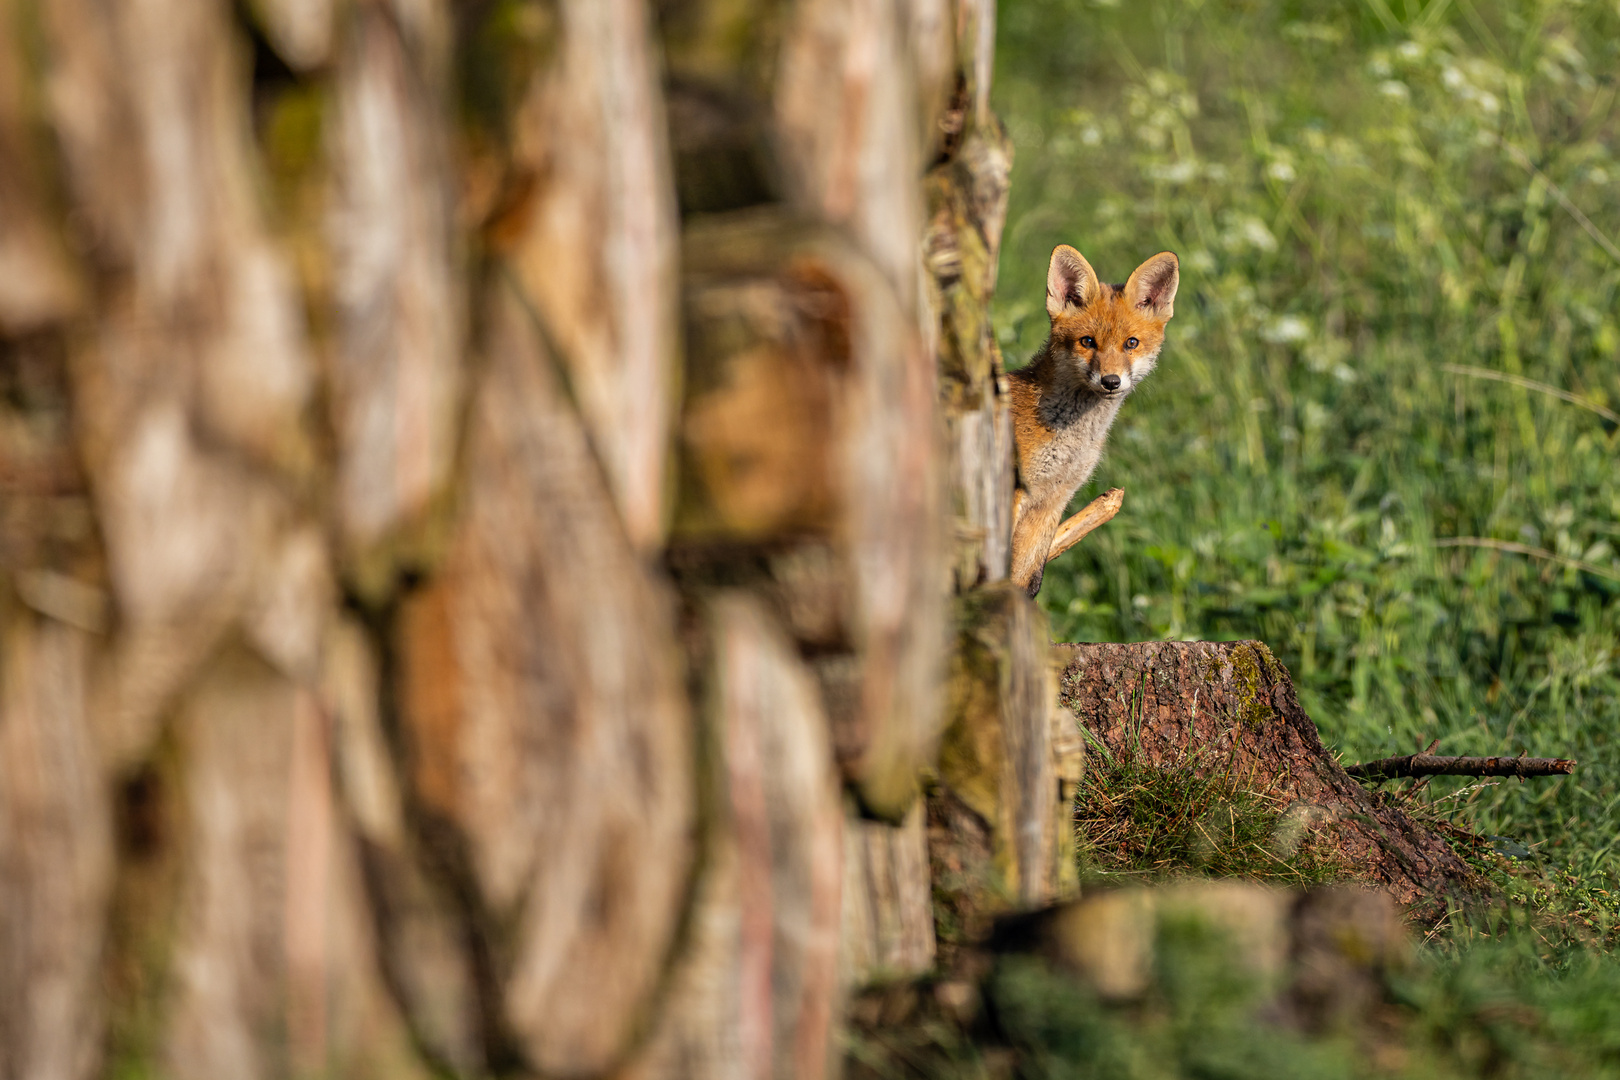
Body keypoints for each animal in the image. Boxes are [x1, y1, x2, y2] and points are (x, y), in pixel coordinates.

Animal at [1010, 244, 1179, 595]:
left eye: (1131, 343)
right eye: (1087, 342)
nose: (1111, 381)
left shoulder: (1052, 502)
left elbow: (1027, 582)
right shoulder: (1017, 493)